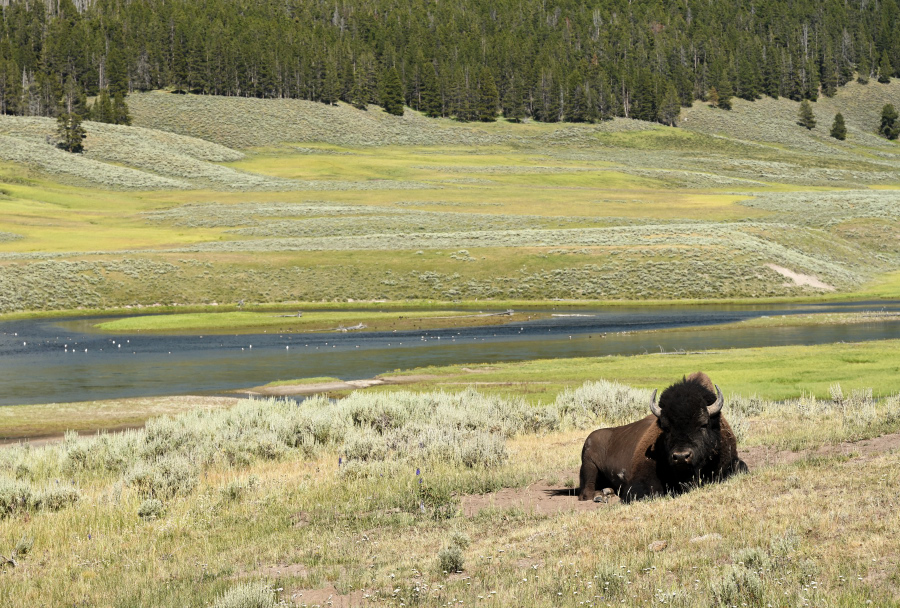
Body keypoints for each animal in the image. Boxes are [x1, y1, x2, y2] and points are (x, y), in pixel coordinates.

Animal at [578, 372, 748, 502]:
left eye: (703, 424)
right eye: (666, 428)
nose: (681, 456)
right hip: (589, 464)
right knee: (585, 492)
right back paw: (600, 495)